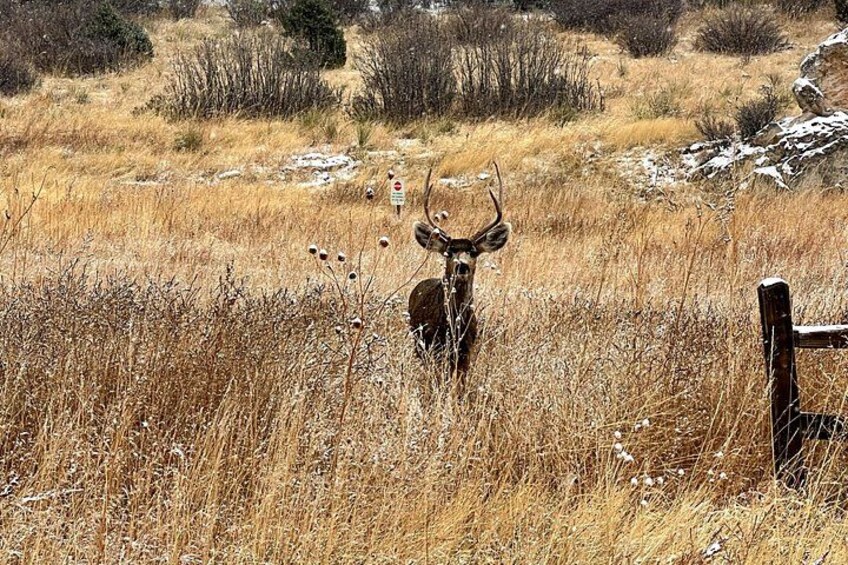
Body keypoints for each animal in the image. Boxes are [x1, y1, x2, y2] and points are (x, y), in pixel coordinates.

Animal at [407, 164, 511, 389]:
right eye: (449, 252)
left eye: (473, 251)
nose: (461, 266)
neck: (454, 327)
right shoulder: (434, 346)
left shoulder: (466, 351)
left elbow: (459, 388)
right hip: (418, 342)